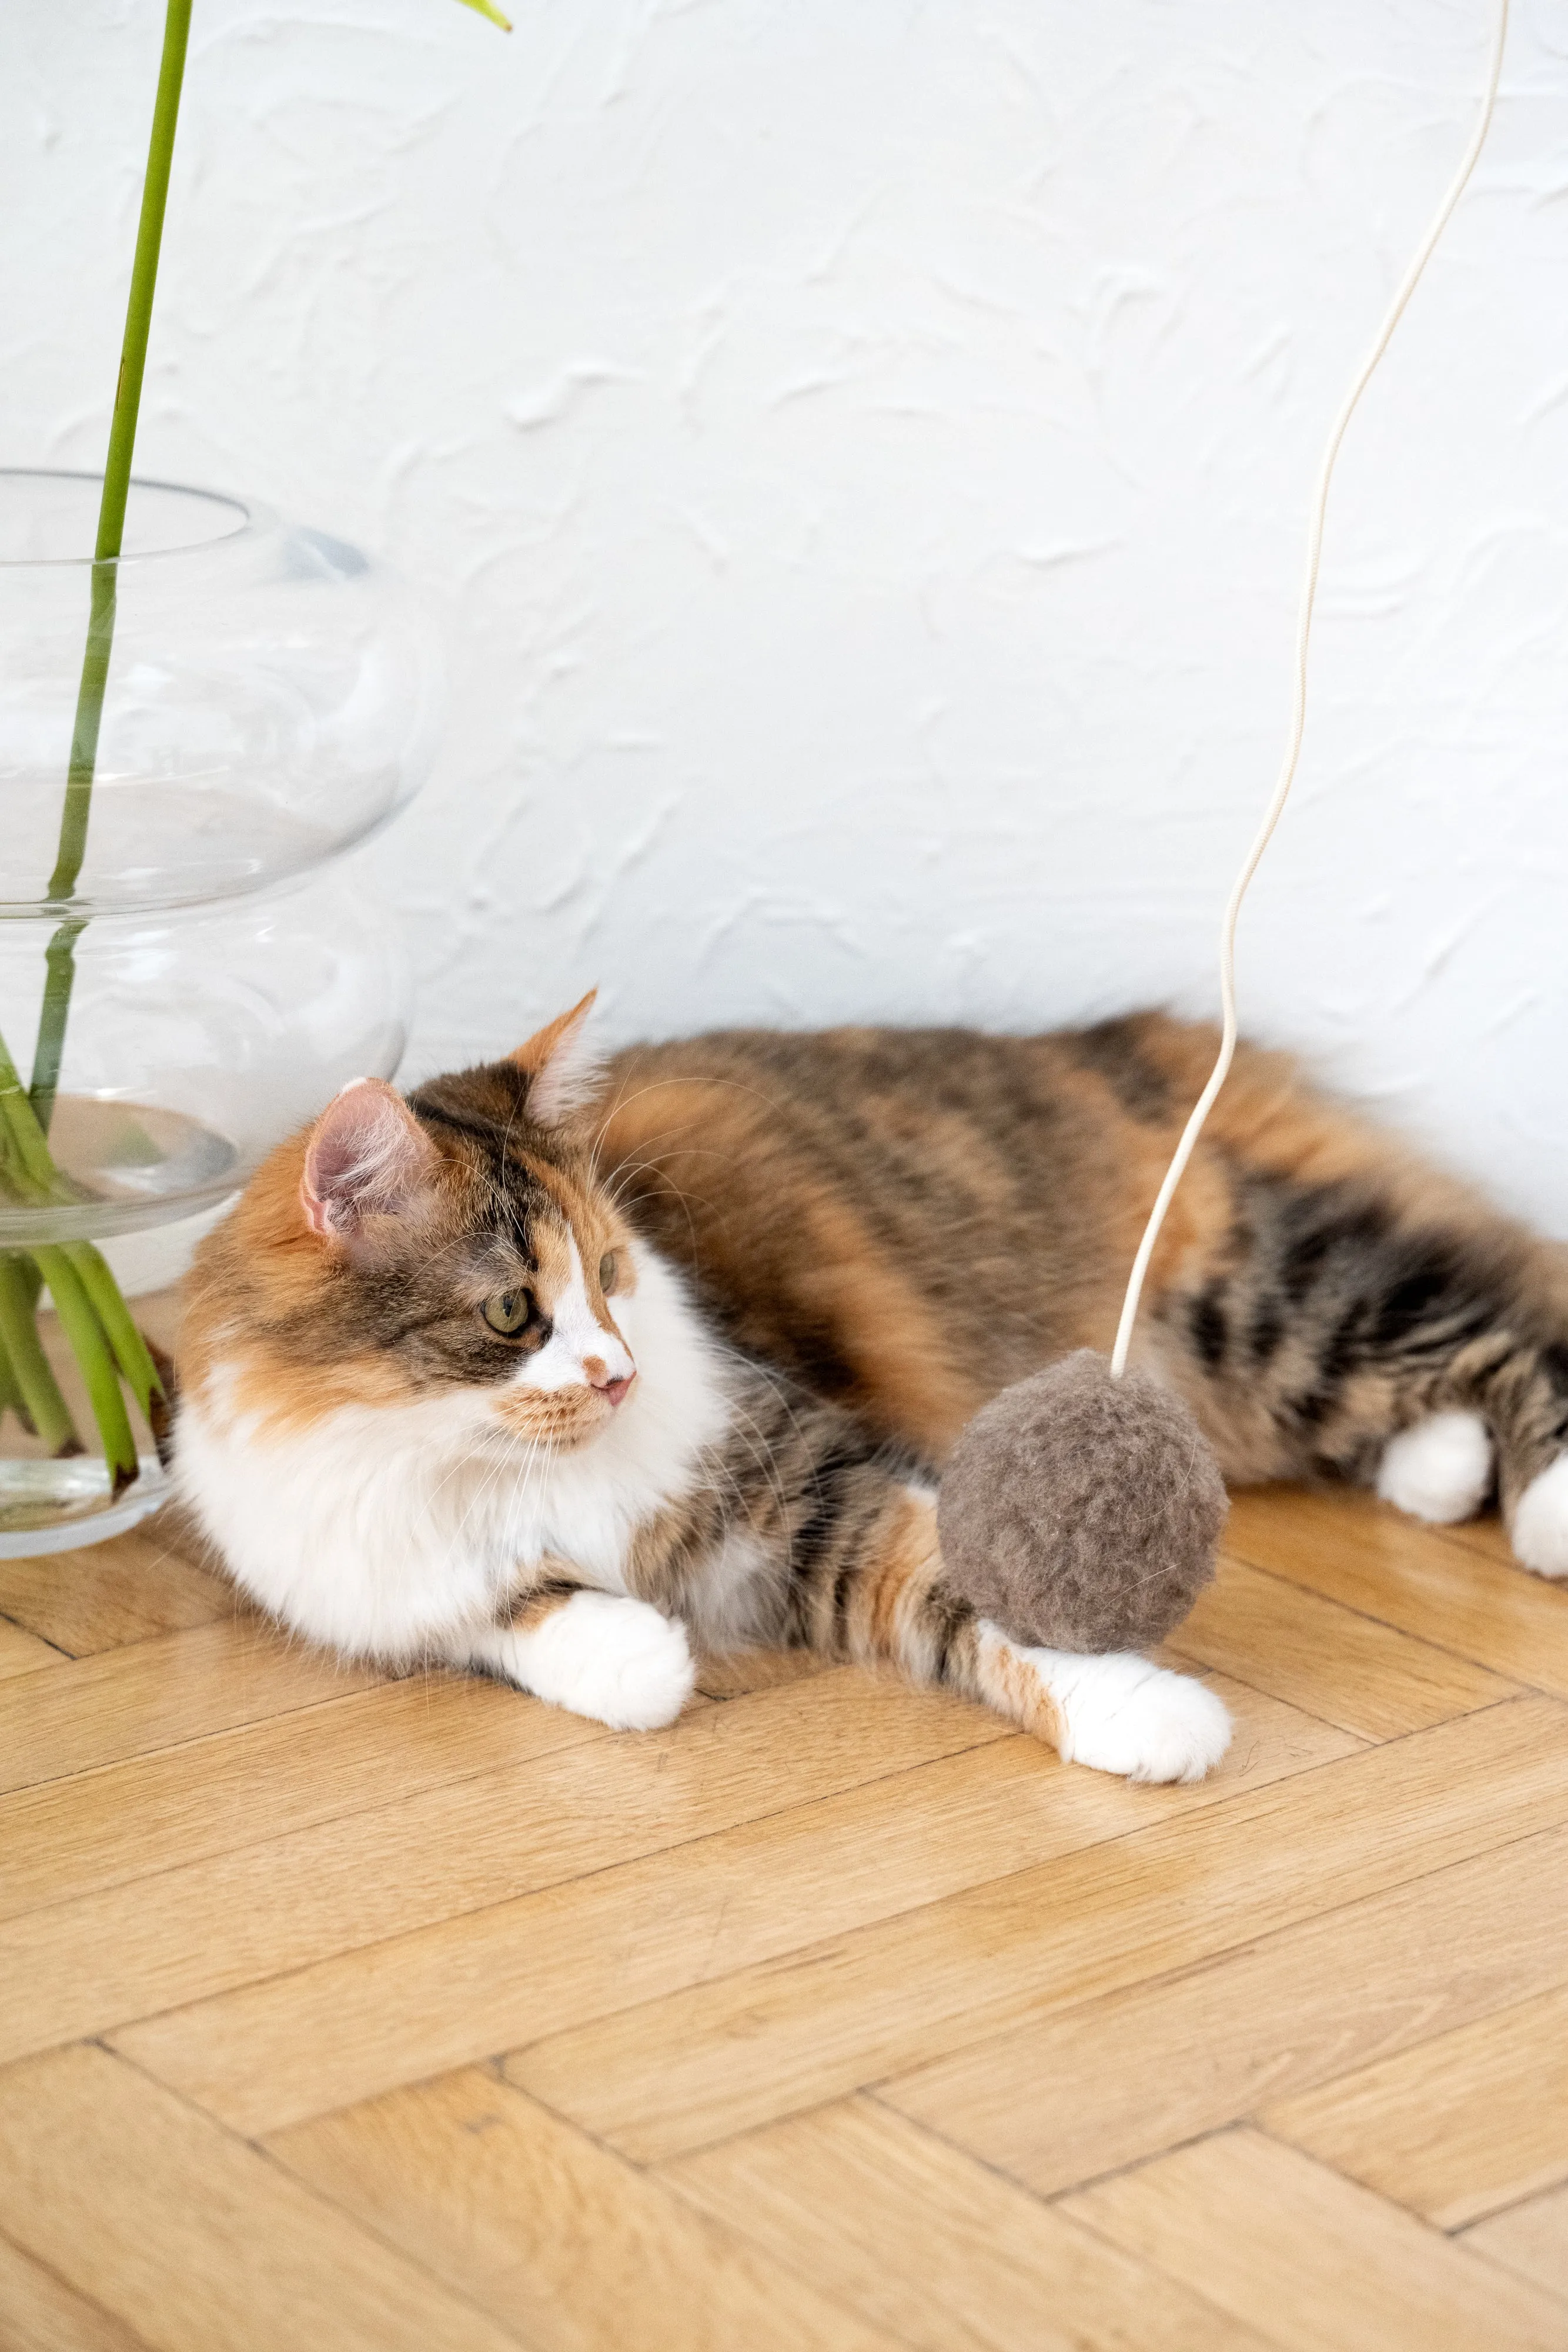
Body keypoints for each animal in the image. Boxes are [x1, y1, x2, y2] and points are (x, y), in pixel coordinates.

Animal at [171, 993, 1568, 1778]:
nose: (619, 1372)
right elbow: (547, 1635)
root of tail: (1115, 1041)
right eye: (514, 1312)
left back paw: (1546, 1510)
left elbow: (985, 1606)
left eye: (614, 1276)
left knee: (1513, 1332)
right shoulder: (376, 1580)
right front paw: (626, 1645)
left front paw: (1151, 1720)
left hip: (1264, 1307)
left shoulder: (807, 1480)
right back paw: (1437, 1472)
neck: (491, 1468)